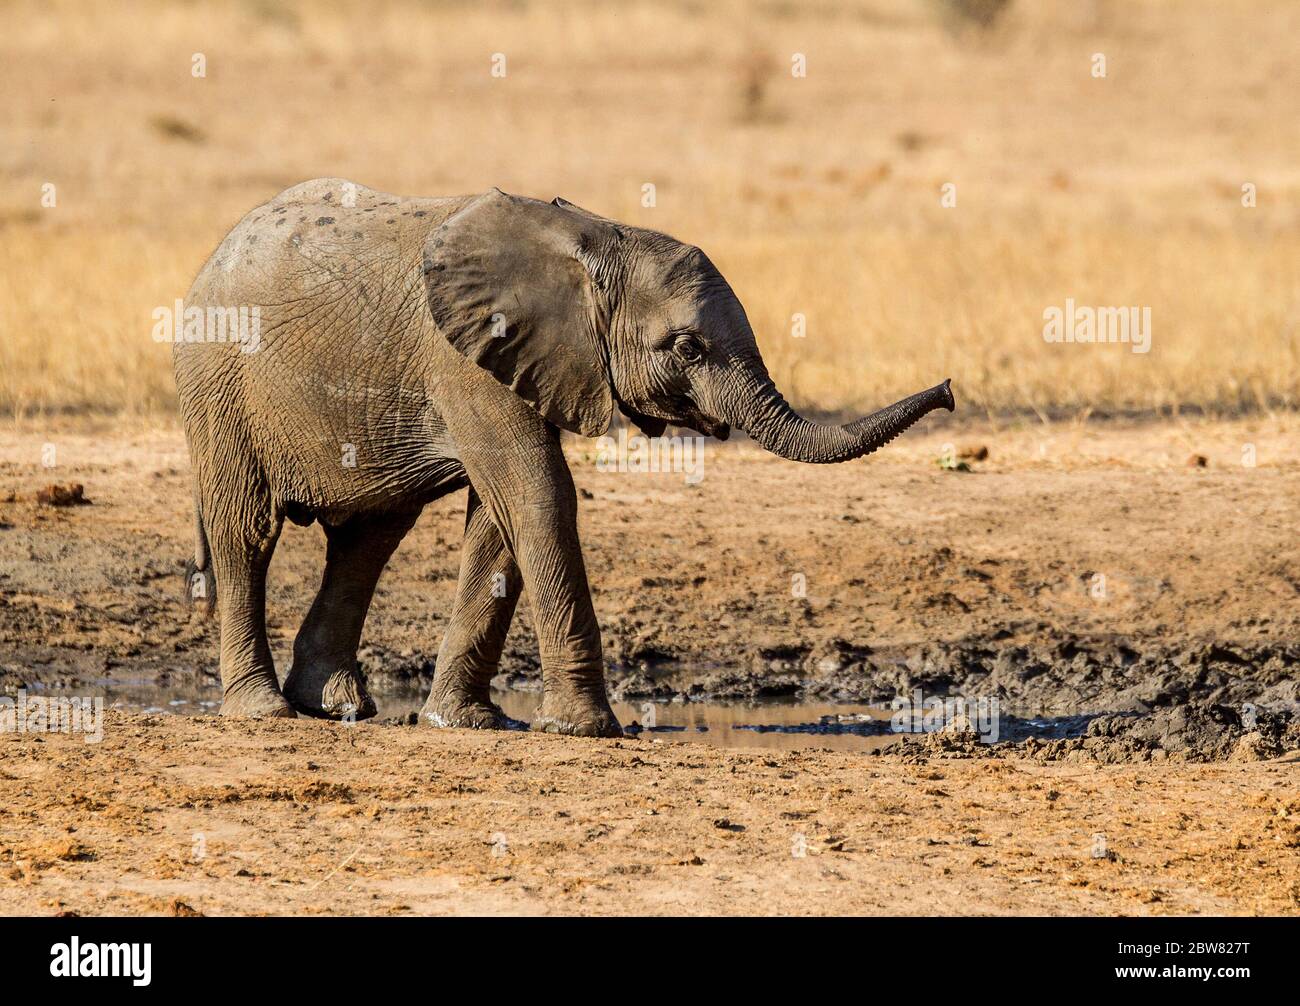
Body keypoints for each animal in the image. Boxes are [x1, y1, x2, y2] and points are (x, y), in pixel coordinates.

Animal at [172, 176, 956, 738]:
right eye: (687, 348)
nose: (949, 390)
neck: (596, 238)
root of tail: (210, 258)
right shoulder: (468, 358)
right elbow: (538, 494)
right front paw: (588, 730)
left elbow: (501, 520)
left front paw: (467, 723)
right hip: (218, 386)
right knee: (247, 531)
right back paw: (265, 712)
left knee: (368, 537)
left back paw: (332, 706)